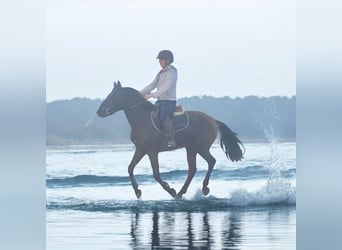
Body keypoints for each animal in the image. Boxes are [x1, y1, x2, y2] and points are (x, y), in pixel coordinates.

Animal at [97, 81, 244, 198]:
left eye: (112, 96)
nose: (99, 112)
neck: (142, 120)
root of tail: (214, 121)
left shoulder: (152, 152)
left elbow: (156, 174)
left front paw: (170, 190)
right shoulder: (141, 150)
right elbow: (130, 168)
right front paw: (137, 191)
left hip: (199, 147)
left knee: (209, 162)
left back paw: (199, 189)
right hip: (192, 148)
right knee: (194, 168)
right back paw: (183, 192)